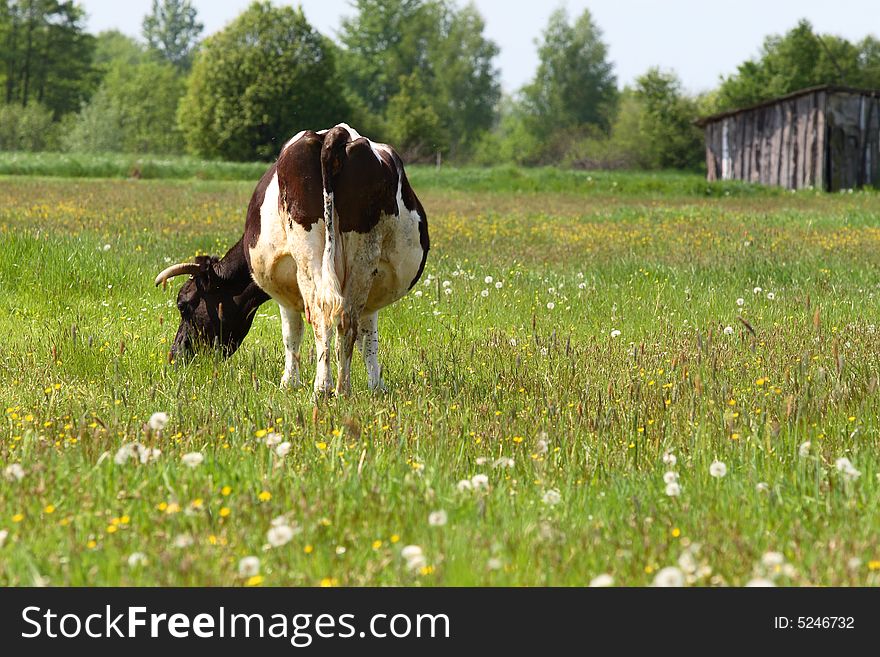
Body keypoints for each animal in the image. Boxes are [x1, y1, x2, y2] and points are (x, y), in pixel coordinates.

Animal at [156, 125, 432, 398]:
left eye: (184, 305)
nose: (175, 356)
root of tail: (336, 133)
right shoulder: (372, 289)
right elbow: (368, 338)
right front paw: (376, 385)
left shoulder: (284, 288)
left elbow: (292, 333)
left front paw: (289, 383)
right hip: (362, 259)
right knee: (346, 319)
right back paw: (342, 389)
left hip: (309, 258)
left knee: (321, 315)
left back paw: (322, 388)